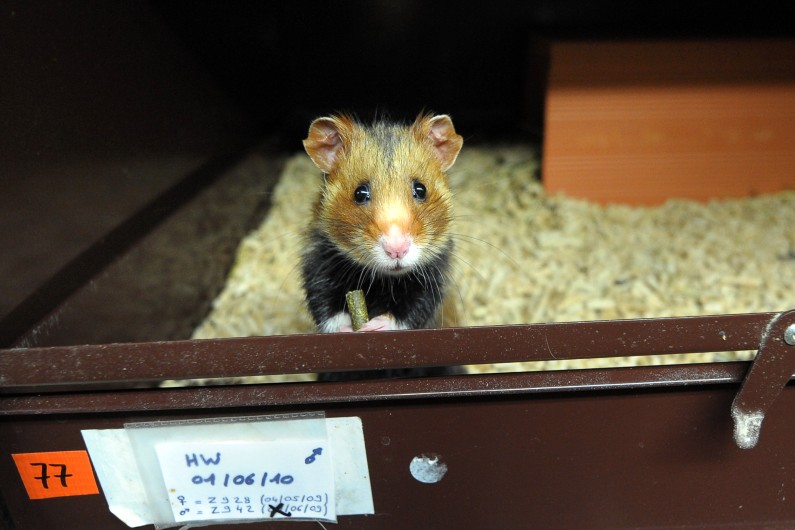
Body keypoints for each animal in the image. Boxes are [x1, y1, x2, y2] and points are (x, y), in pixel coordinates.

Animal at [300, 113, 464, 379]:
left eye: (421, 189)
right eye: (359, 193)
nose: (397, 250)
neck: (383, 279)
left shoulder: (433, 278)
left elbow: (410, 312)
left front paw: (375, 326)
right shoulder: (319, 262)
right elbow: (325, 305)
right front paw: (349, 329)